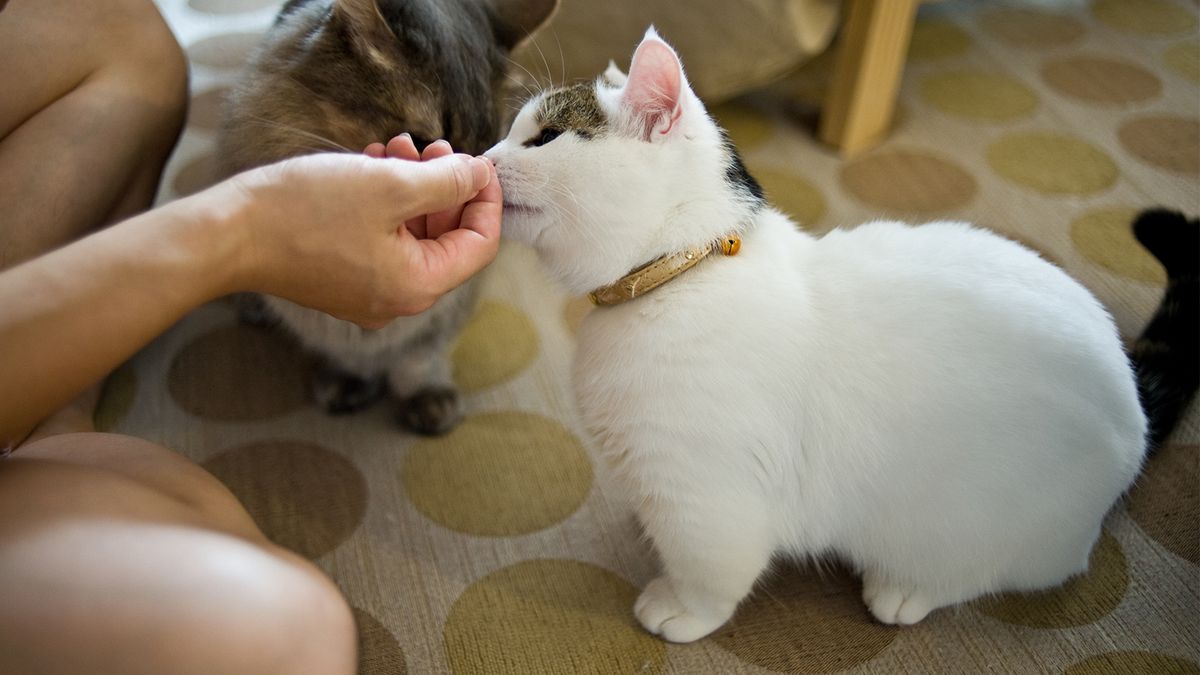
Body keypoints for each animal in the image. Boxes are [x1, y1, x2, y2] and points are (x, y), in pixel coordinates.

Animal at [487, 30, 1161, 638]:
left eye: (544, 137)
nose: (485, 158)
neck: (680, 277)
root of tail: (1134, 420)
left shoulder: (706, 498)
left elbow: (709, 573)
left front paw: (680, 607)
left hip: (973, 526)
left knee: (996, 571)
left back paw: (903, 590)